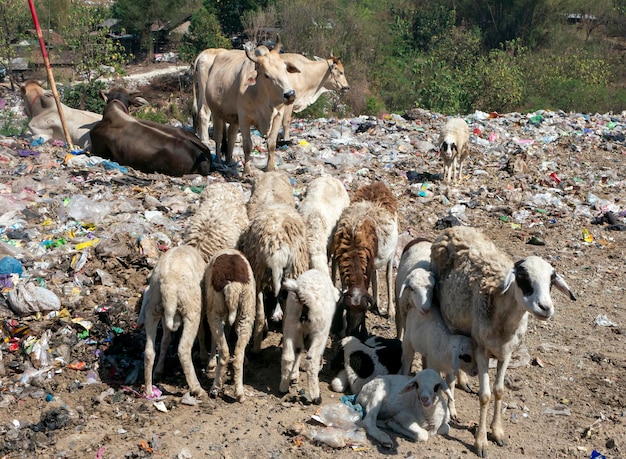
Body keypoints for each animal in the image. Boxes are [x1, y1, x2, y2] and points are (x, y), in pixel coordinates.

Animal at [136, 244, 205, 398]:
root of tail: (168, 285)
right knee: (183, 349)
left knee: (149, 352)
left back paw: (148, 389)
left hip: (153, 308)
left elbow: (165, 341)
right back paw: (197, 389)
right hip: (191, 310)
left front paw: (159, 370)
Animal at [191, 36, 298, 174]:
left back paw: (229, 160)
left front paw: (270, 168)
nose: (290, 94)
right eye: (266, 75)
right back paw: (216, 158)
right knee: (215, 132)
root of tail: (202, 55)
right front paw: (246, 172)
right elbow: (247, 145)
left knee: (230, 135)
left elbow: (271, 143)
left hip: (232, 117)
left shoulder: (277, 116)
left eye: (285, 69)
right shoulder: (244, 118)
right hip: (213, 109)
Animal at [204, 248, 255, 402]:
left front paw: (210, 364)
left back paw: (215, 388)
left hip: (215, 311)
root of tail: (233, 286)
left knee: (224, 352)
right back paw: (240, 394)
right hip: (247, 311)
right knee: (237, 355)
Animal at [278, 270, 338, 406]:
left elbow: (298, 350)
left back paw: (283, 387)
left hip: (290, 324)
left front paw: (293, 376)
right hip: (320, 331)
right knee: (311, 360)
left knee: (287, 356)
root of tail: (305, 297)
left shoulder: (298, 331)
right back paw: (316, 397)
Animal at [432, 226, 572, 456]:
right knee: (451, 366)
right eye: (523, 278)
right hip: (450, 318)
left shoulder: (507, 351)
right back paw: (452, 408)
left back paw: (463, 381)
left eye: (551, 282)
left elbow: (499, 391)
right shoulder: (481, 350)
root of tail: (455, 228)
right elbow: (485, 396)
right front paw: (481, 441)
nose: (546, 308)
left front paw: (497, 432)